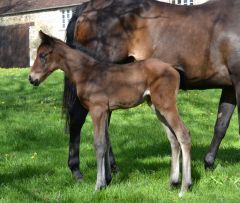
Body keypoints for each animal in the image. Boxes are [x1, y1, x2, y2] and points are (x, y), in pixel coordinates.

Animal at [28, 31, 191, 195]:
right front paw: (107, 180)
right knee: (173, 139)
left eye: (43, 55)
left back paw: (185, 187)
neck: (86, 73)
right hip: (156, 107)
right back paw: (173, 182)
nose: (31, 78)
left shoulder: (97, 110)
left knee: (183, 134)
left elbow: (99, 144)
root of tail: (173, 69)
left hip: (166, 105)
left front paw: (98, 185)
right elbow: (106, 142)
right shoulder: (106, 111)